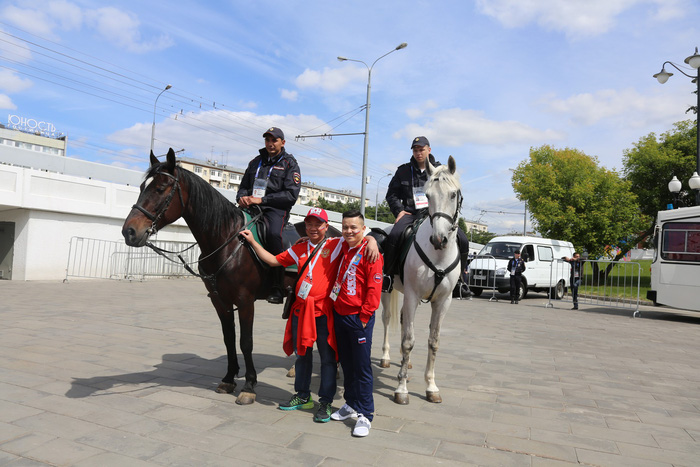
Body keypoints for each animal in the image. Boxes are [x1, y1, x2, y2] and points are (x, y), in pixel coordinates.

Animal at [121, 149, 292, 406]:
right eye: (142, 187)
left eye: (160, 188)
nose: (129, 232)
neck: (228, 240)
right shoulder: (219, 300)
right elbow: (229, 339)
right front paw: (229, 379)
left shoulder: (245, 301)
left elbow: (246, 342)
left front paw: (249, 386)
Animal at [380, 157, 462, 406]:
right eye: (427, 194)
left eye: (453, 194)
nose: (438, 239)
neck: (438, 255)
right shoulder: (412, 296)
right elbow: (408, 340)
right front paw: (401, 389)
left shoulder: (443, 302)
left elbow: (433, 341)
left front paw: (431, 386)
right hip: (388, 292)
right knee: (387, 319)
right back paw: (386, 356)